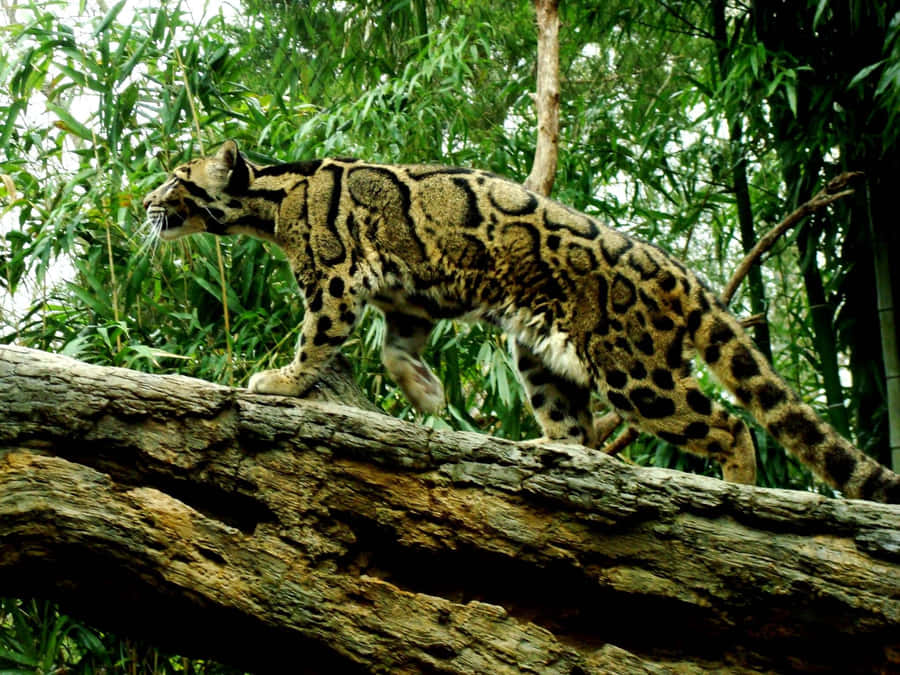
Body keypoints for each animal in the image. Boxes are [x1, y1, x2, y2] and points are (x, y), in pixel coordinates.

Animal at [142, 140, 900, 503]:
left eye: (176, 179)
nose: (144, 202)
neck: (273, 201)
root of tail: (679, 271)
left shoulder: (334, 277)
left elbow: (317, 338)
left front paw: (282, 380)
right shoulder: (410, 299)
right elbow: (396, 351)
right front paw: (428, 394)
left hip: (634, 371)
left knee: (729, 424)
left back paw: (738, 491)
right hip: (541, 356)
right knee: (578, 429)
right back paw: (551, 450)